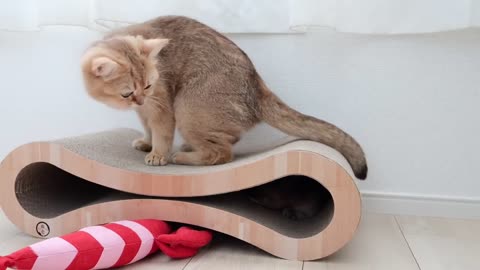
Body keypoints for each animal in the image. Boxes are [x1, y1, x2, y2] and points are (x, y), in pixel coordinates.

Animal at [81, 16, 368, 181]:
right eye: (128, 93)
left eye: (149, 84)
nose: (141, 99)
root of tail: (257, 84)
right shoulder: (144, 110)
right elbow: (147, 127)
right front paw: (146, 142)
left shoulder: (162, 103)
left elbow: (161, 132)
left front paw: (158, 154)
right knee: (227, 140)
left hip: (187, 107)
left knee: (222, 152)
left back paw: (182, 156)